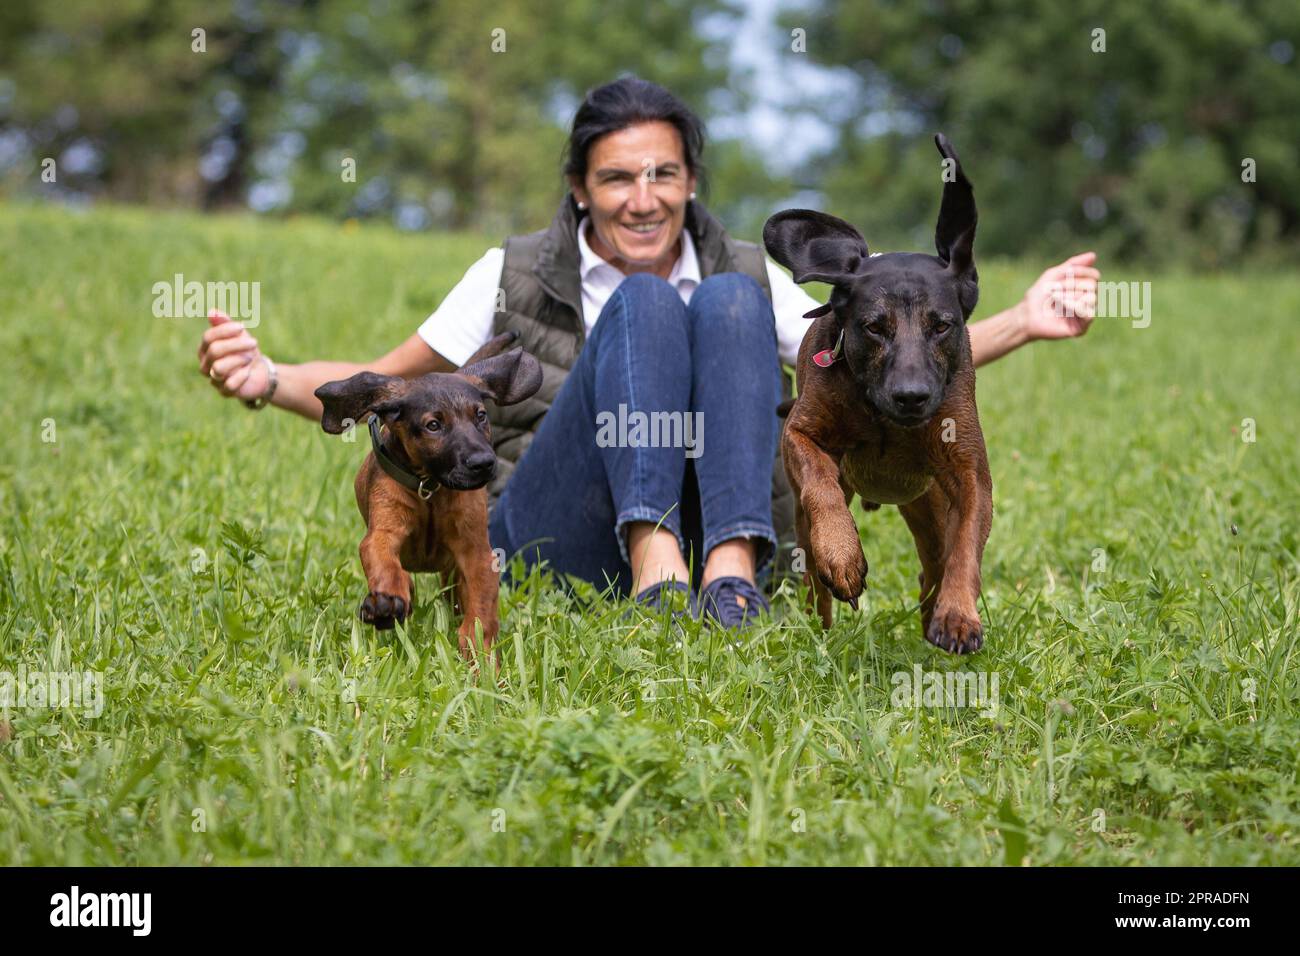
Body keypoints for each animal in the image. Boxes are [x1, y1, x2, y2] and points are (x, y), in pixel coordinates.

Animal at [317, 335, 540, 665]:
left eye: (481, 416)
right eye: (433, 425)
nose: (483, 463)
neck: (431, 488)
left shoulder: (475, 551)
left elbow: (480, 610)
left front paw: (482, 657)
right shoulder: (384, 530)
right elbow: (383, 561)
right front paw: (388, 599)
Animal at [764, 134, 987, 655]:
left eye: (941, 325)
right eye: (873, 327)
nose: (911, 396)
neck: (884, 419)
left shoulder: (967, 471)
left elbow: (967, 540)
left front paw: (958, 616)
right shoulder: (800, 435)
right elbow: (820, 483)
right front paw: (843, 556)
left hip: (928, 505)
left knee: (934, 564)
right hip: (807, 527)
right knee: (814, 581)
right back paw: (819, 627)